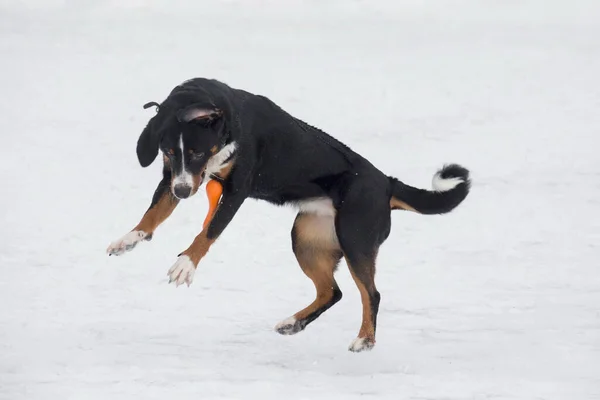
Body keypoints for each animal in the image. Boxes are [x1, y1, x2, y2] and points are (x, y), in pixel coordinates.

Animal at [109, 76, 474, 352]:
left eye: (198, 151)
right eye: (169, 151)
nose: (184, 193)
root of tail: (385, 182)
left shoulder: (236, 189)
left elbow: (208, 232)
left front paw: (185, 264)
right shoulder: (172, 176)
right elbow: (154, 213)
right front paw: (129, 238)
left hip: (355, 240)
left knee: (371, 293)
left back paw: (364, 340)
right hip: (307, 240)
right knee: (332, 292)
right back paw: (293, 323)